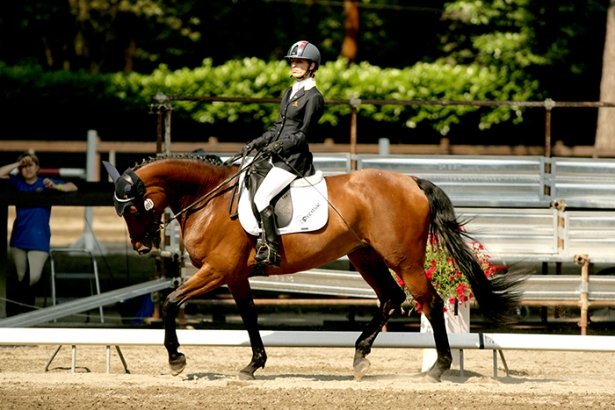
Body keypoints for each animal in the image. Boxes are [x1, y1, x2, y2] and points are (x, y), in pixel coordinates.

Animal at [103, 152, 524, 382]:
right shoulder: (235, 276)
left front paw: (176, 360)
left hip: (402, 259)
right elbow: (250, 317)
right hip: (365, 256)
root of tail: (412, 181)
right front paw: (253, 365)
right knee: (391, 297)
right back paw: (360, 356)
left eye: (133, 209)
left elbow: (171, 302)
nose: (142, 247)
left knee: (429, 302)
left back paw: (438, 369)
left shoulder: (217, 271)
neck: (209, 197)